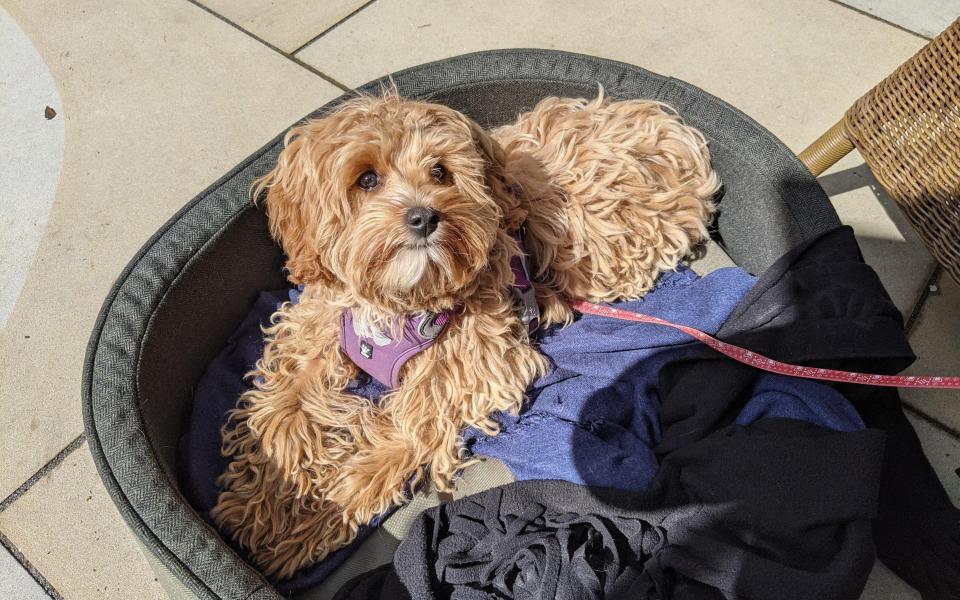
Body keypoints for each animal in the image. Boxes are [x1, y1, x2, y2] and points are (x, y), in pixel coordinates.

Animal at [212, 92, 720, 576]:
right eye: (367, 179)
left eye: (440, 171)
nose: (423, 217)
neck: (401, 303)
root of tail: (664, 123)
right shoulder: (316, 333)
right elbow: (284, 413)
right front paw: (263, 510)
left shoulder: (479, 365)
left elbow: (410, 427)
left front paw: (320, 516)